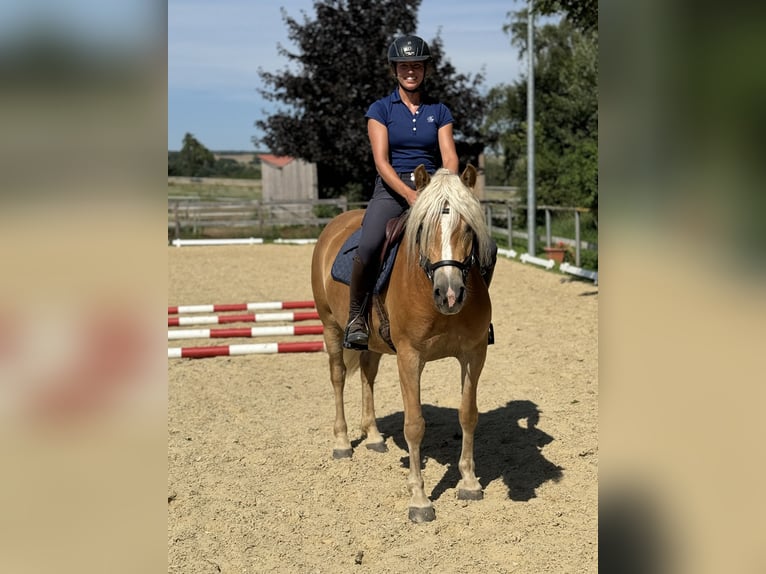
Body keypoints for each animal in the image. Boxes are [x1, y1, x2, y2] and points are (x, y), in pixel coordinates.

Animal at [310, 164, 496, 524]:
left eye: (468, 226)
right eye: (422, 227)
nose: (449, 294)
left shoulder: (474, 353)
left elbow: (468, 414)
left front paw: (468, 482)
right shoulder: (410, 357)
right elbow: (414, 425)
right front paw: (420, 500)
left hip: (373, 344)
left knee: (367, 376)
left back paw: (372, 436)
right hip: (330, 327)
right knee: (338, 377)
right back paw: (342, 442)